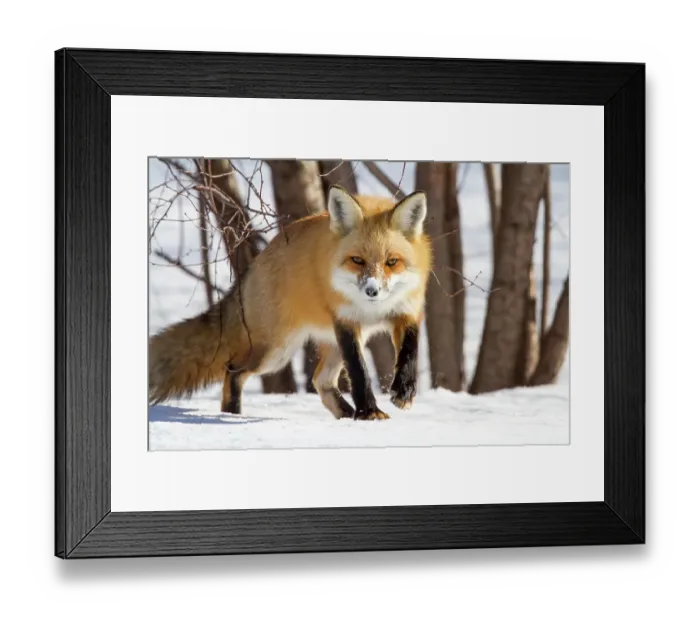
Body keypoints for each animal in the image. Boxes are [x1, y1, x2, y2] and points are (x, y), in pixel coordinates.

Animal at [148, 185, 432, 421]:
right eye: (357, 261)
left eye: (392, 262)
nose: (372, 290)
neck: (373, 310)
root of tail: (252, 266)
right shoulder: (346, 321)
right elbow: (359, 371)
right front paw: (369, 412)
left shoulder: (407, 312)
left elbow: (409, 353)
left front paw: (403, 392)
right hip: (275, 351)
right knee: (233, 371)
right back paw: (231, 414)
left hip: (319, 345)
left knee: (320, 381)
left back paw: (345, 413)